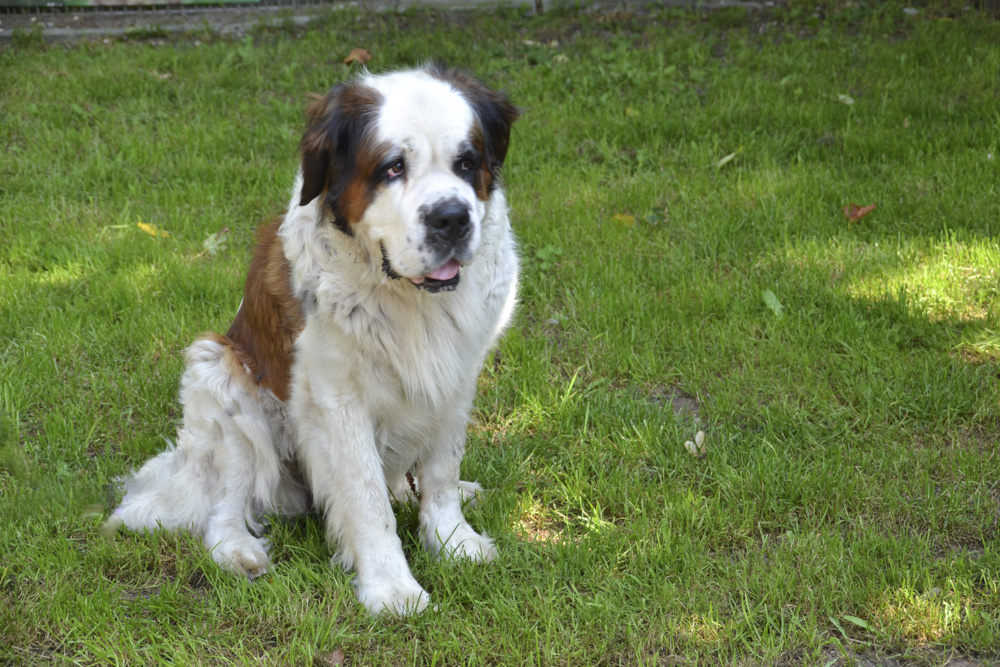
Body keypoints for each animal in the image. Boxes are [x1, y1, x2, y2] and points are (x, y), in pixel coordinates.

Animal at [108, 66, 520, 616]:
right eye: (393, 167)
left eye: (467, 163)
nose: (452, 218)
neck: (407, 298)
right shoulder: (337, 400)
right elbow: (366, 498)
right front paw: (391, 587)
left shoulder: (457, 379)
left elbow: (442, 472)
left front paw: (454, 540)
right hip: (224, 387)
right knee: (223, 508)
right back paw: (239, 551)